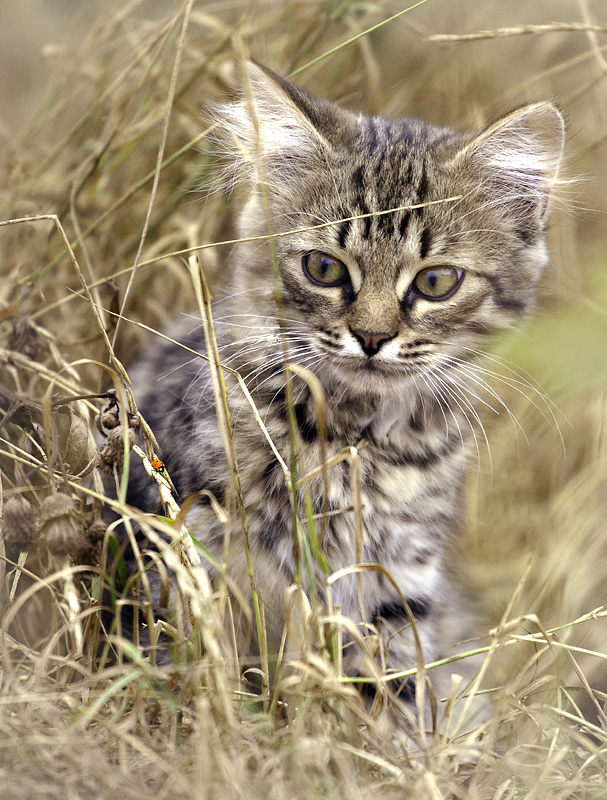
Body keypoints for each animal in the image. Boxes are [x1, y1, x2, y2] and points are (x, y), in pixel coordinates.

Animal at [121, 61, 568, 724]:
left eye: (436, 282)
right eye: (325, 269)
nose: (373, 337)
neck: (358, 438)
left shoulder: (396, 578)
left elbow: (393, 692)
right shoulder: (190, 545)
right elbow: (187, 662)